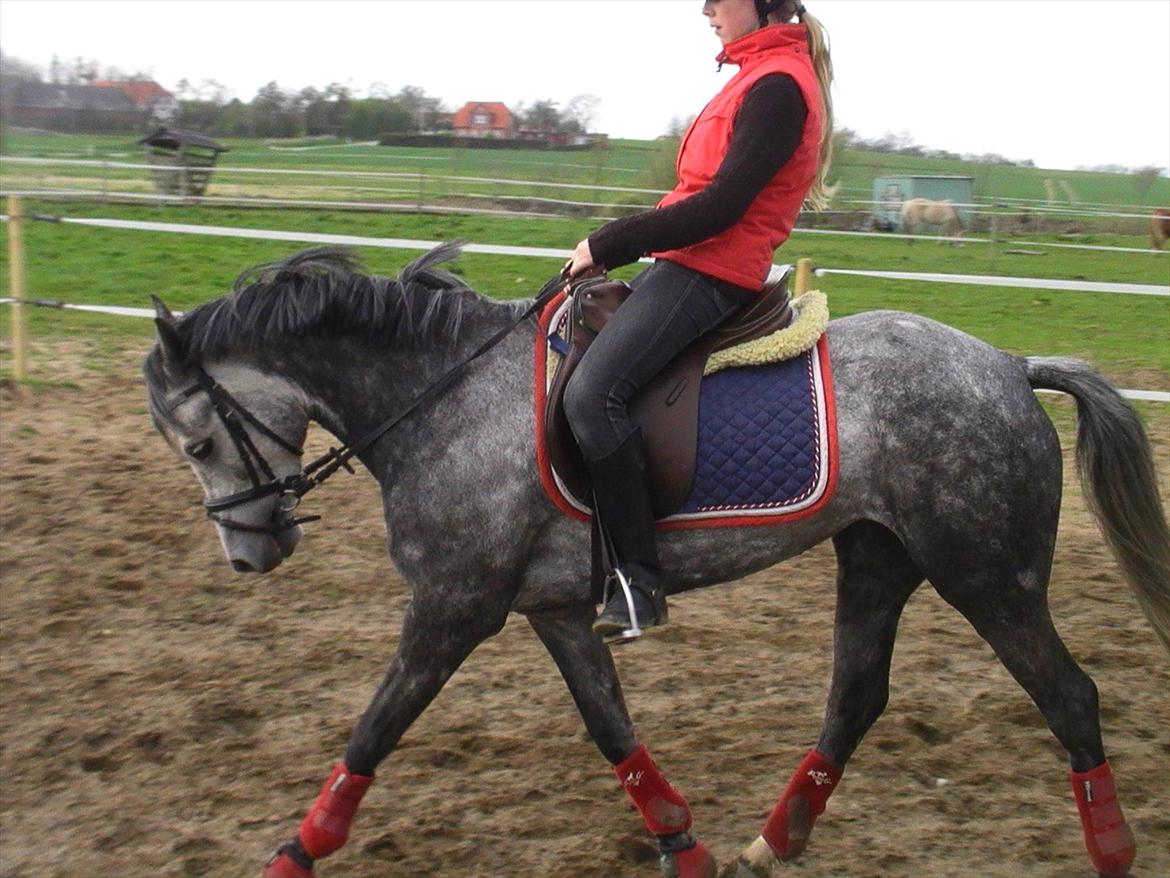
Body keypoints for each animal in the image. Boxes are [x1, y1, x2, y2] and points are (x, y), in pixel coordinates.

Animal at [143, 245, 1169, 878]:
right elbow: (611, 729)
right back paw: (769, 844)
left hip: (989, 576)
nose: (250, 552)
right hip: (880, 555)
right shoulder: (552, 608)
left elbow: (373, 730)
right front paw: (685, 845)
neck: (446, 397)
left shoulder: (452, 605)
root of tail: (1008, 366)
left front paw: (295, 852)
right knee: (856, 698)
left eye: (196, 441)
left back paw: (1113, 851)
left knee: (1070, 697)